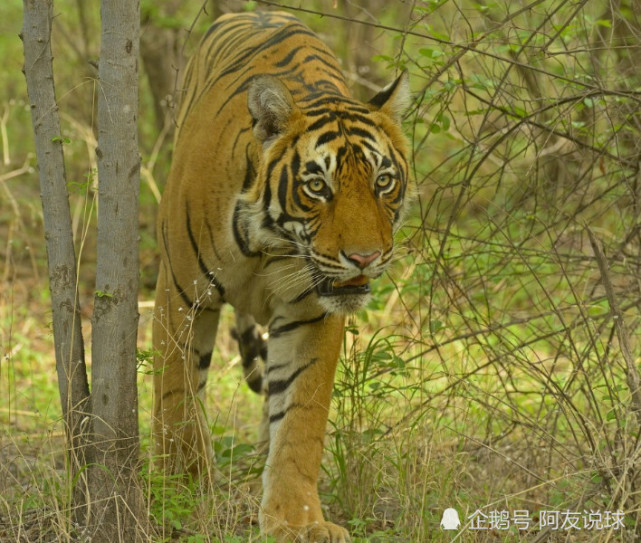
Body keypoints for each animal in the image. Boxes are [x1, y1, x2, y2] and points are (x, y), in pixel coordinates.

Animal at [151, 10, 410, 540]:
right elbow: (177, 398)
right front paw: (183, 496)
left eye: (383, 182)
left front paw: (297, 519)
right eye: (318, 187)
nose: (366, 257)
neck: (270, 243)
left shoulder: (312, 312)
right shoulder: (180, 294)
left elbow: (299, 416)